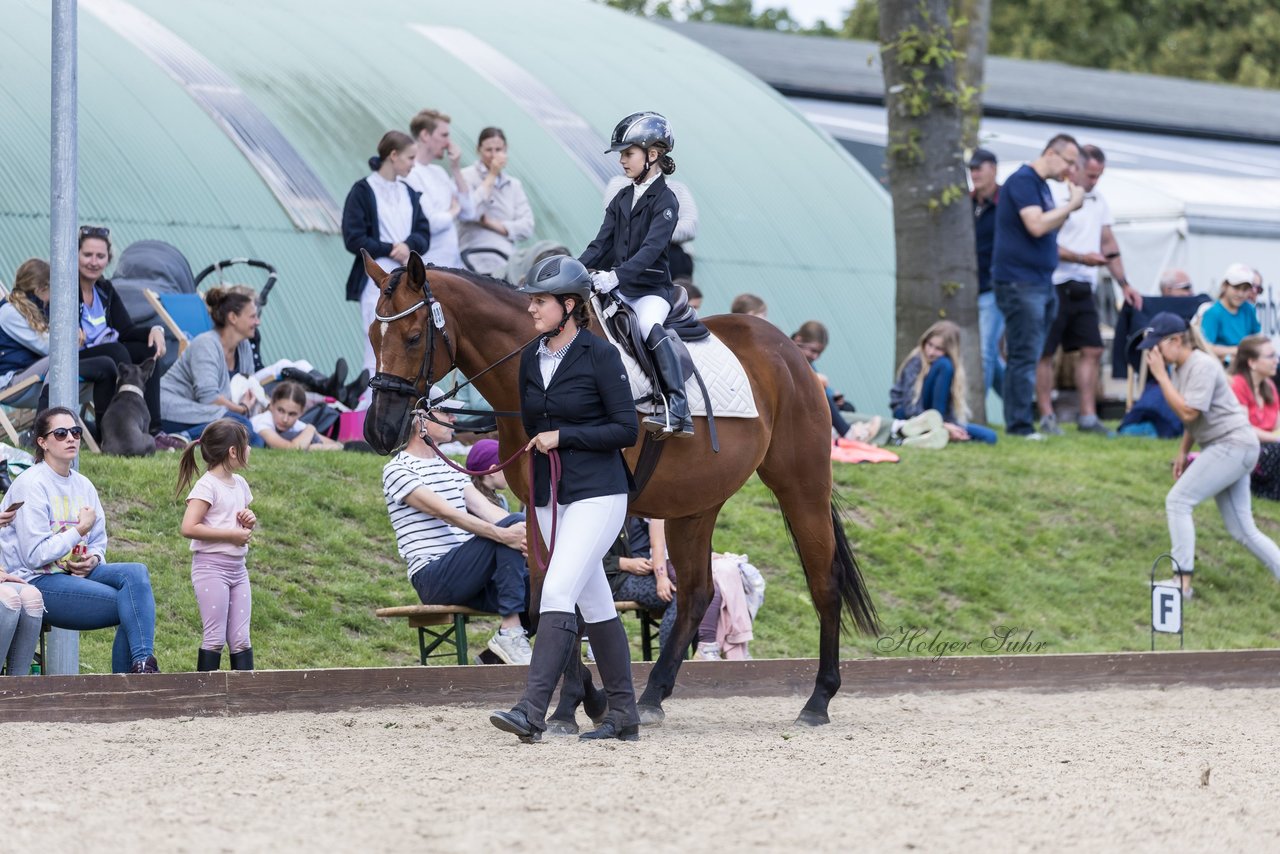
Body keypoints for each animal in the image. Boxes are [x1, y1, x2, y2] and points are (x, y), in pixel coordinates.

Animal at [366, 253, 875, 727]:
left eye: (413, 337)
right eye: (373, 336)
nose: (379, 430)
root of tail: (789, 350)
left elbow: (571, 595)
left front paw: (576, 704)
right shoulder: (539, 505)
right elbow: (545, 595)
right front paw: (577, 703)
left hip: (801, 486)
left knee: (824, 583)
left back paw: (818, 701)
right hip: (695, 505)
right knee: (696, 593)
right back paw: (651, 698)